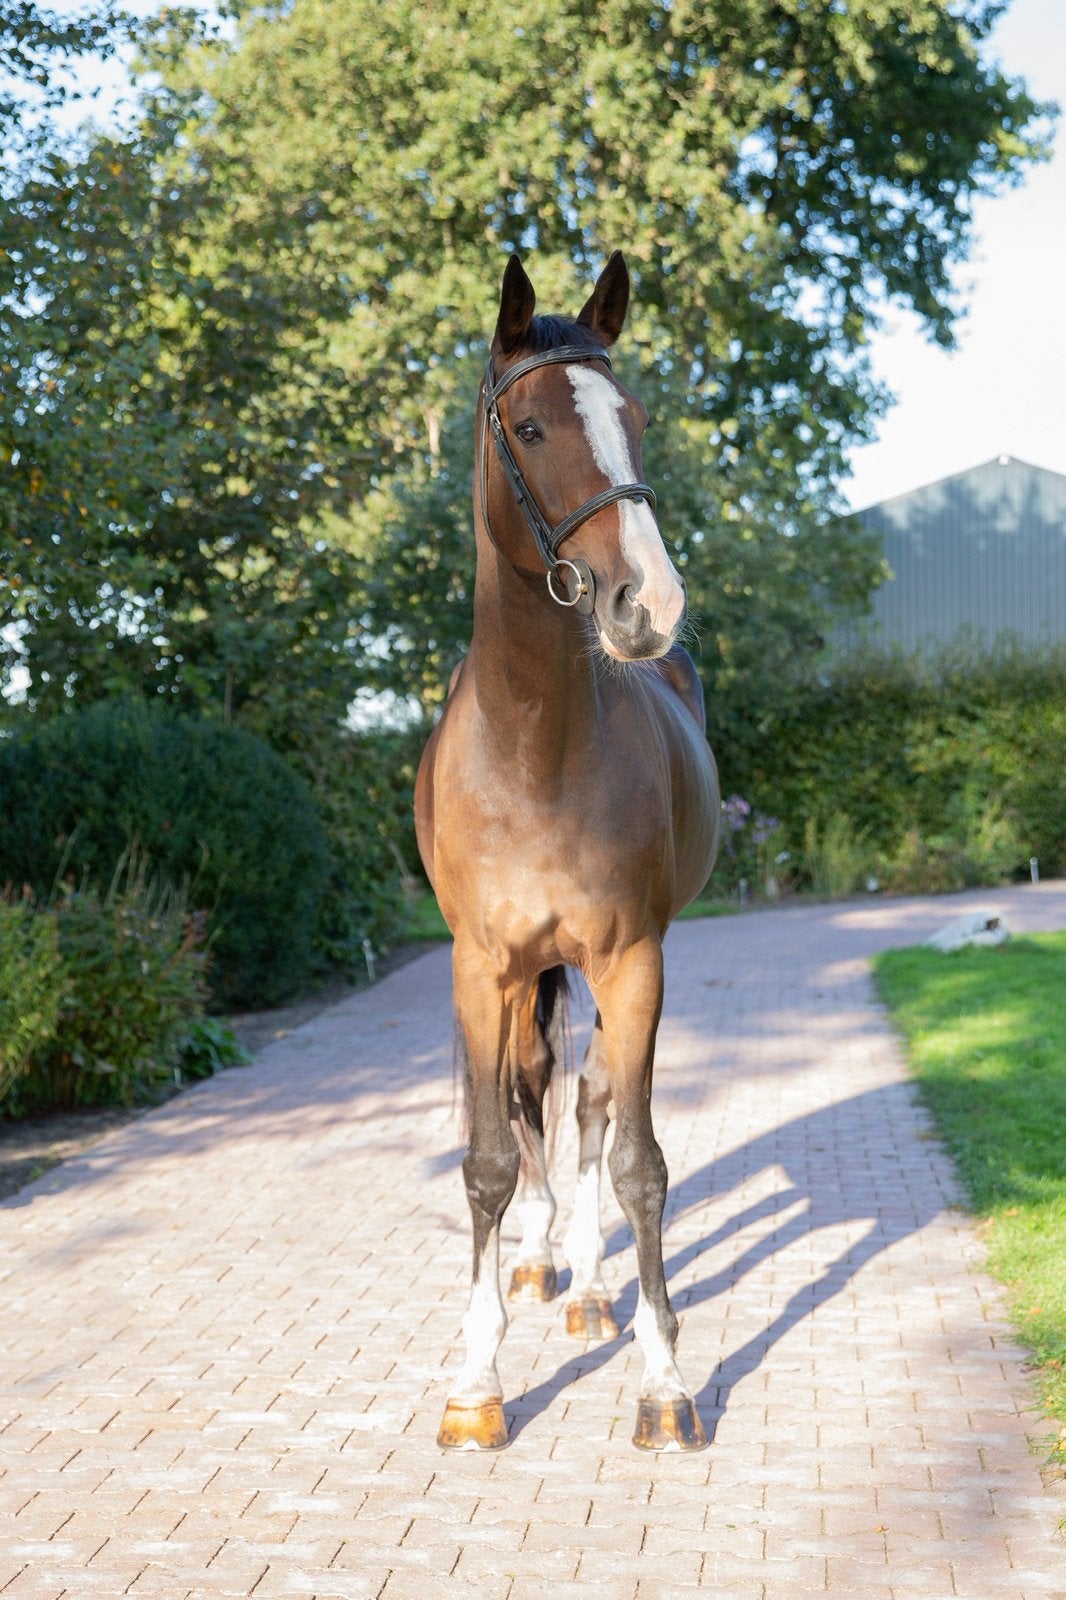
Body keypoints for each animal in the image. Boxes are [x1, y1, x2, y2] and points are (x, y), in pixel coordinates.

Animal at [414, 251, 720, 1452]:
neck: (533, 745)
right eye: (533, 426)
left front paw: (664, 1382)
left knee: (586, 1103)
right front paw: (474, 1381)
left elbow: (636, 1160)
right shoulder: (480, 966)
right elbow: (490, 1157)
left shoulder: (634, 958)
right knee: (534, 1092)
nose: (650, 603)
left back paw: (590, 1285)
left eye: (631, 419)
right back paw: (545, 1265)